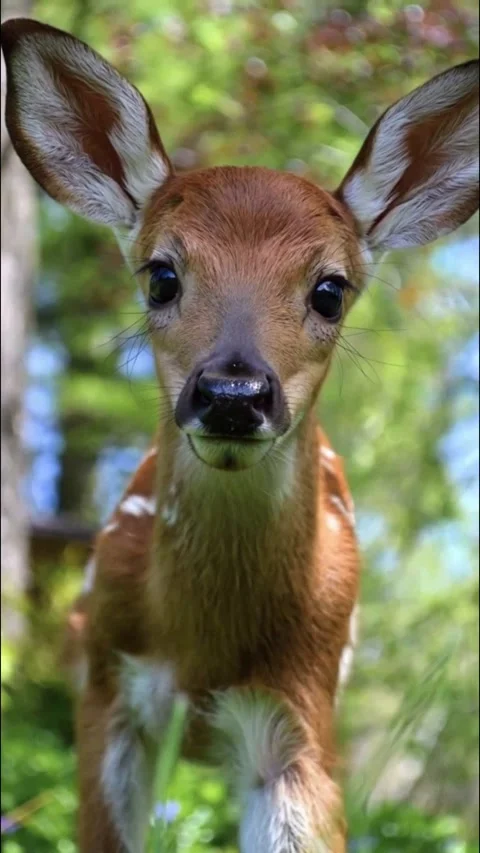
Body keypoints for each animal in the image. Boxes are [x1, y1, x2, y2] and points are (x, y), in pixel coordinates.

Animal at [1, 16, 478, 853]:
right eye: (160, 274)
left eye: (330, 289)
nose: (232, 395)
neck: (201, 647)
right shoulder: (106, 686)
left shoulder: (302, 712)